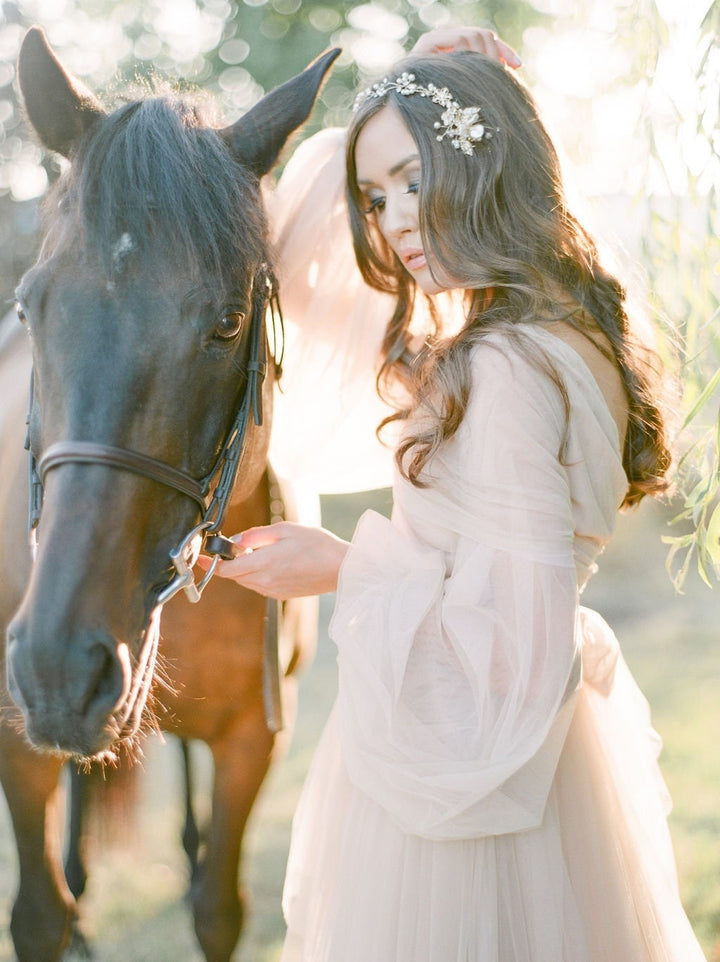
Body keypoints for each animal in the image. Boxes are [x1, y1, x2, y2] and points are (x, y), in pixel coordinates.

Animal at [0, 26, 338, 956]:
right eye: (31, 307)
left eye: (227, 322)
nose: (59, 665)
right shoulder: (16, 748)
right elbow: (40, 914)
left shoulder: (254, 742)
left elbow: (218, 906)